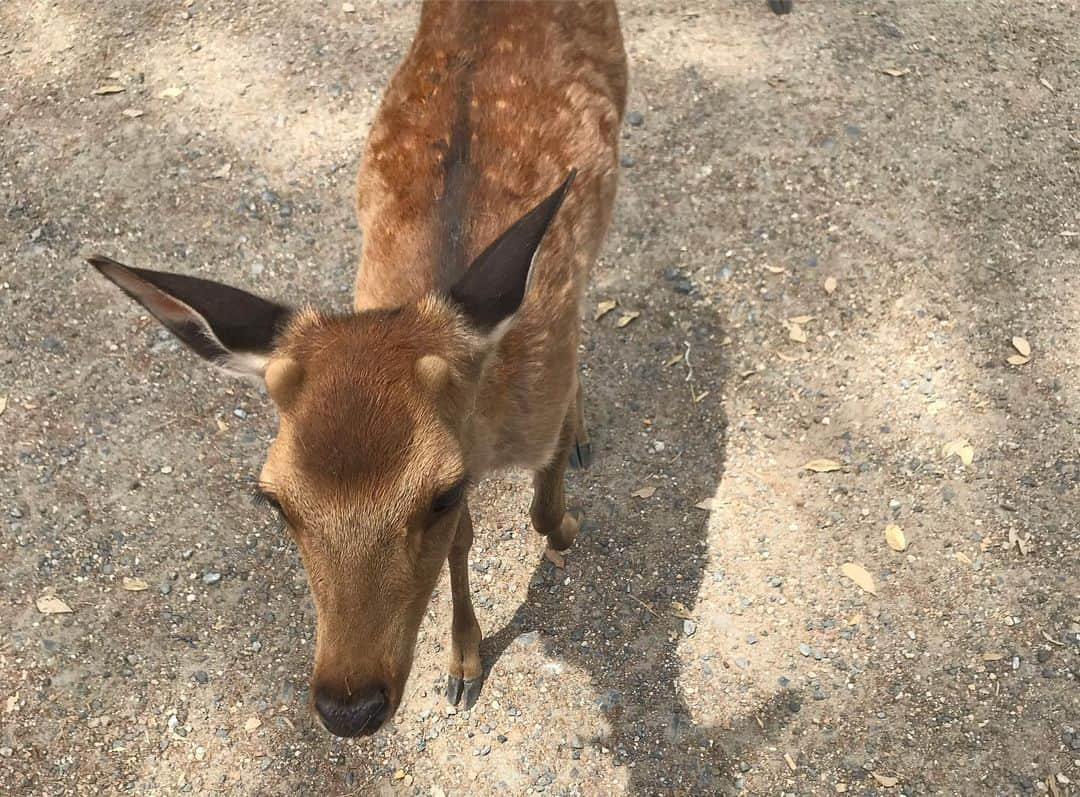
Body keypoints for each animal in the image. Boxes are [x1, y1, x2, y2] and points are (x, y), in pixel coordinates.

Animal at [89, 0, 630, 734]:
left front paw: (568, 526)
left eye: (438, 492)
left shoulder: (537, 399)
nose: (349, 706)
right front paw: (462, 662)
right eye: (273, 499)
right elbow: (463, 540)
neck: (491, 438)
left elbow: (542, 509)